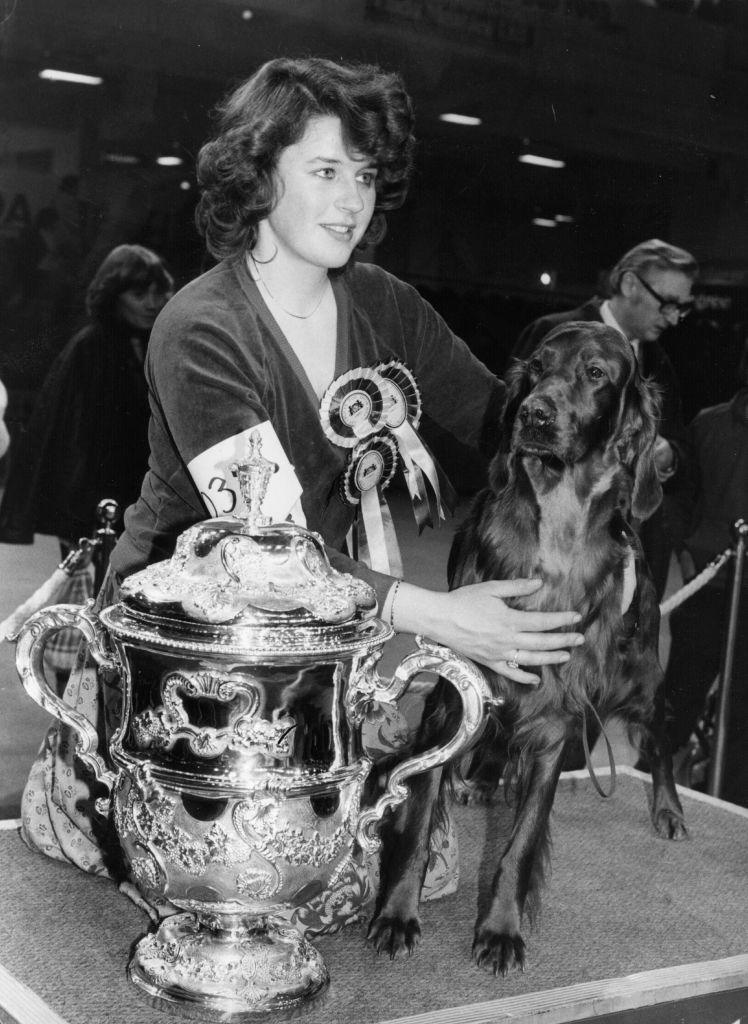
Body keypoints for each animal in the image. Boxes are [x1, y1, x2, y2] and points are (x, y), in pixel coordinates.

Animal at [370, 323, 684, 970]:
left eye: (596, 373)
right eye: (537, 366)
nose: (534, 415)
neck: (556, 536)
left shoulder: (559, 717)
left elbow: (521, 840)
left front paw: (500, 930)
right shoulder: (453, 698)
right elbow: (417, 823)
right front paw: (397, 915)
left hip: (640, 676)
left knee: (661, 737)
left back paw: (667, 809)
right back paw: (482, 779)